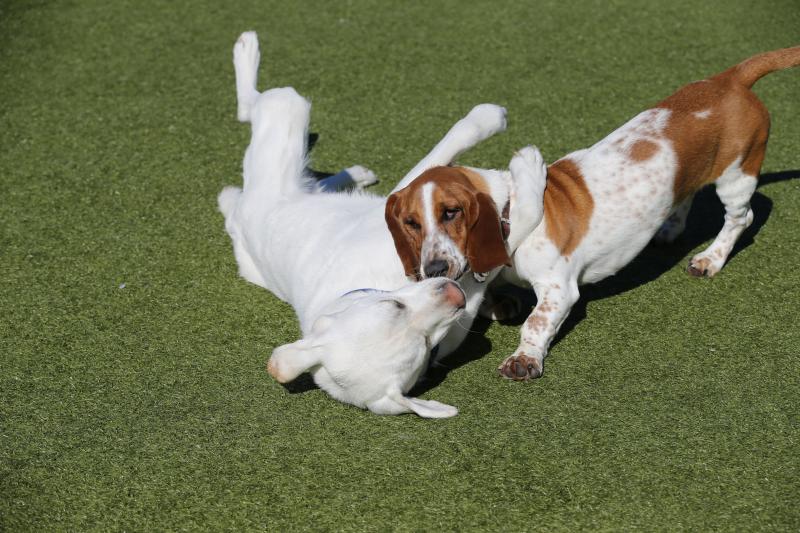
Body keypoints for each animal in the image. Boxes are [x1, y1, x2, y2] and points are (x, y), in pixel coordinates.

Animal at [216, 32, 548, 416]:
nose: (452, 292)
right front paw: (525, 166)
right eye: (424, 346)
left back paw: (354, 175)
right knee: (255, 106)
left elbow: (446, 150)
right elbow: (511, 230)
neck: (368, 285)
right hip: (286, 114)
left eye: (393, 306)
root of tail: (236, 211)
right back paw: (246, 51)